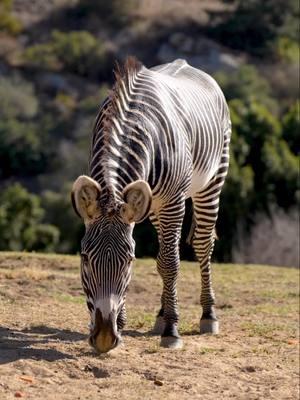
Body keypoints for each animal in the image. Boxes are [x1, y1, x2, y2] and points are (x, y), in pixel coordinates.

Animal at [71, 57, 231, 354]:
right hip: (155, 206)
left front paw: (171, 330)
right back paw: (161, 313)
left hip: (211, 181)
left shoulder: (173, 202)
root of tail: (186, 64)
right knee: (164, 254)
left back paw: (208, 315)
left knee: (201, 245)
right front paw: (124, 324)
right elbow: (161, 262)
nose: (104, 338)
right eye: (84, 258)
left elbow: (170, 264)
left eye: (130, 260)